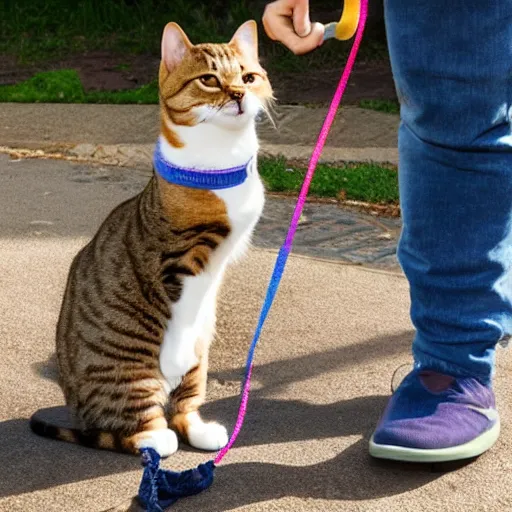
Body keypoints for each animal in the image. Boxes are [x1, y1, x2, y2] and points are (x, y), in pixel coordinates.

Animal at [29, 20, 272, 456]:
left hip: (201, 359)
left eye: (248, 76)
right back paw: (155, 437)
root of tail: (78, 410)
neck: (221, 162)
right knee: (140, 428)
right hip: (132, 370)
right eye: (210, 79)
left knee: (183, 407)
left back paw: (200, 430)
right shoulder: (178, 261)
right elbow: (182, 310)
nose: (239, 94)